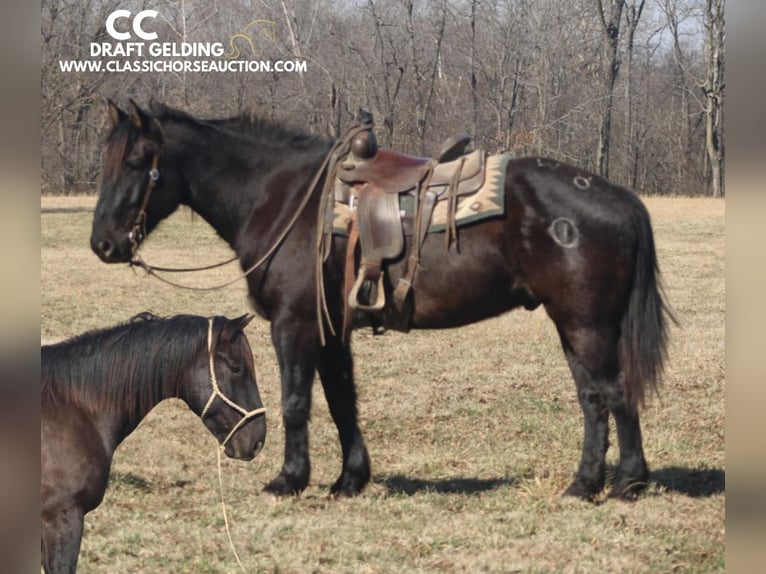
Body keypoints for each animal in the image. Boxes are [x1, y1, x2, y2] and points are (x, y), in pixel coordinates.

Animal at [91, 102, 672, 504]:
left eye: (139, 161)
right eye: (106, 161)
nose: (103, 244)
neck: (282, 199)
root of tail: (618, 197)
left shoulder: (293, 325)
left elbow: (296, 402)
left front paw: (288, 479)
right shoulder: (330, 331)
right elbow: (342, 401)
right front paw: (349, 479)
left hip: (587, 325)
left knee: (613, 394)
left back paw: (626, 483)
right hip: (573, 326)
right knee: (593, 399)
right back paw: (585, 484)